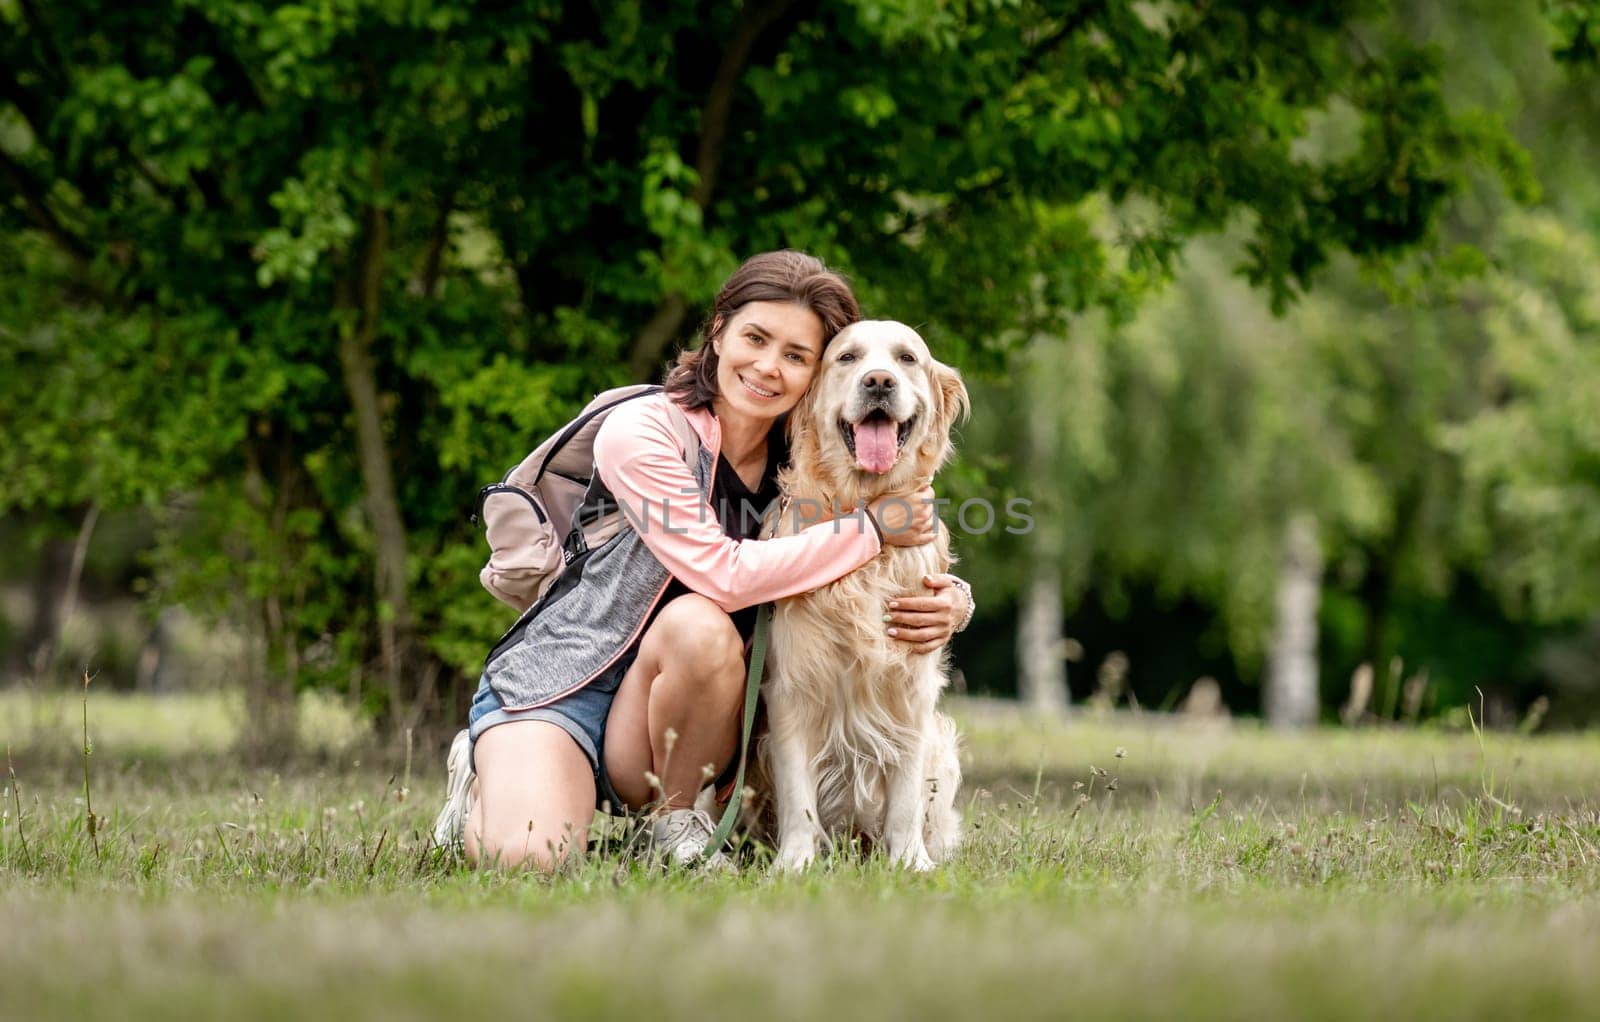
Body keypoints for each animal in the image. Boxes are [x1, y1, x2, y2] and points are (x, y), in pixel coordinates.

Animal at [758, 321, 966, 870]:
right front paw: (795, 865)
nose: (878, 382)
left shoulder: (912, 693)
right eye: (847, 358)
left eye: (907, 358)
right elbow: (798, 795)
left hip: (943, 745)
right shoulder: (790, 688)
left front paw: (911, 863)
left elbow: (906, 798)